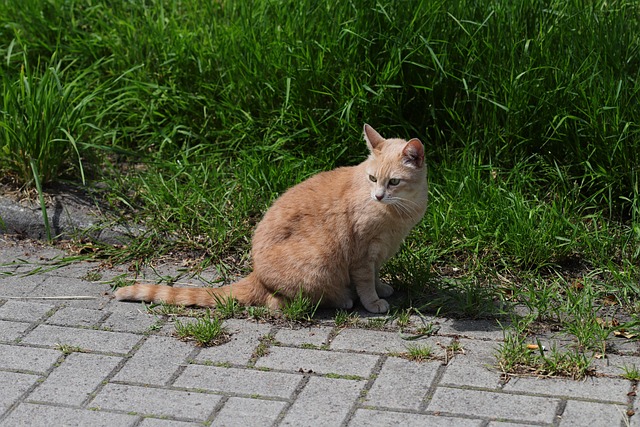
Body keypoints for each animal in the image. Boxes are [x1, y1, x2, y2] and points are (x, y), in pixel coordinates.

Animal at [116, 123, 424, 314]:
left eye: (393, 182)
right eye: (372, 178)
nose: (378, 196)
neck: (399, 211)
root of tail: (256, 275)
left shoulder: (378, 251)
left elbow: (376, 275)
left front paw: (381, 288)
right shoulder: (362, 253)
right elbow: (365, 281)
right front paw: (373, 301)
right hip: (318, 264)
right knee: (279, 302)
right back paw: (343, 300)